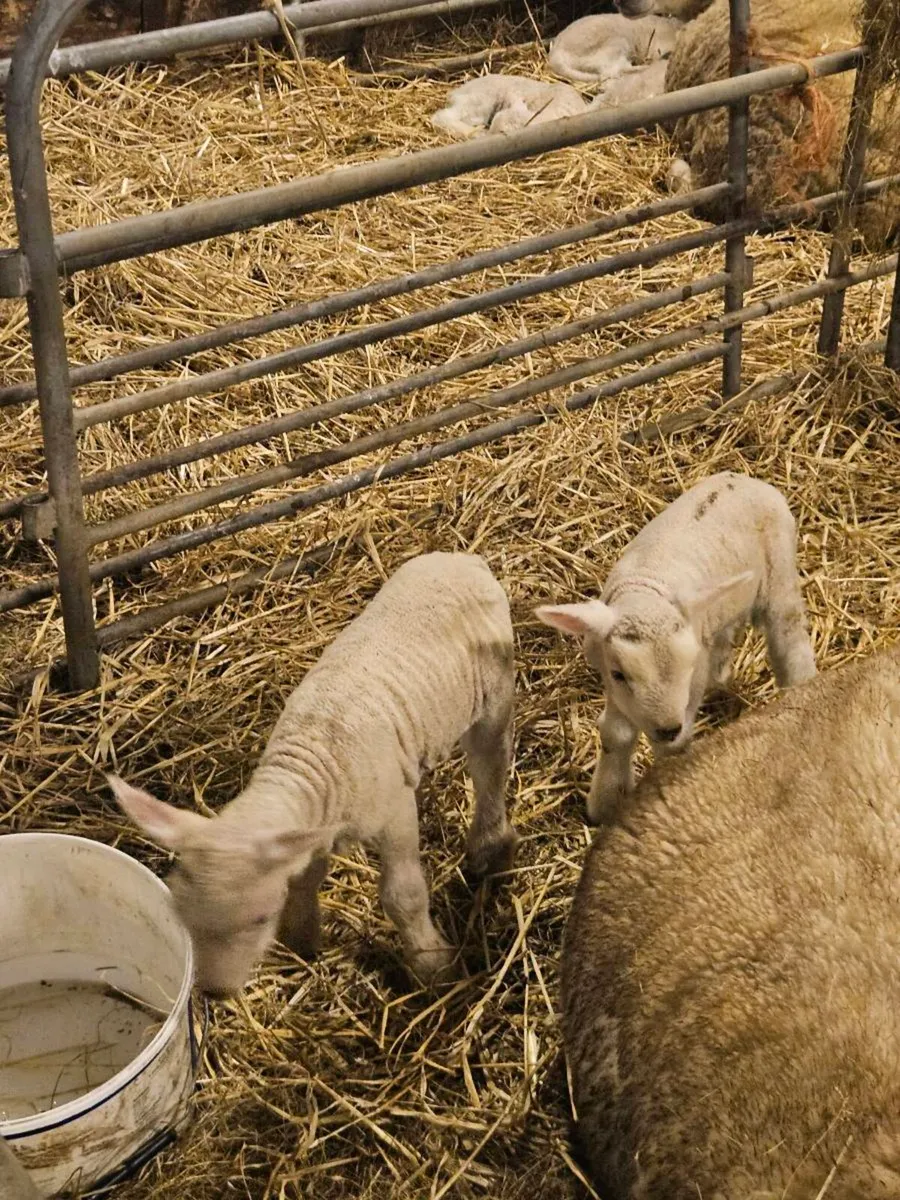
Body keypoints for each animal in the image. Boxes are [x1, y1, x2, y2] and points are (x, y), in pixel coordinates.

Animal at [108, 552, 518, 999]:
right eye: (181, 912)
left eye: (260, 917)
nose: (214, 992)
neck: (306, 762)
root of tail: (460, 558)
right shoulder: (313, 828)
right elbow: (304, 879)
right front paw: (303, 938)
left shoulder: (394, 812)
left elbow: (403, 895)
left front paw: (434, 965)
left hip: (493, 694)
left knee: (490, 764)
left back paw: (489, 845)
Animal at [535, 472, 816, 825]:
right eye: (620, 674)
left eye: (688, 667)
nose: (667, 728)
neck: (646, 592)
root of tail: (745, 479)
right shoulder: (613, 684)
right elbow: (615, 733)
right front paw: (606, 803)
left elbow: (671, 751)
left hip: (780, 571)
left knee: (789, 637)